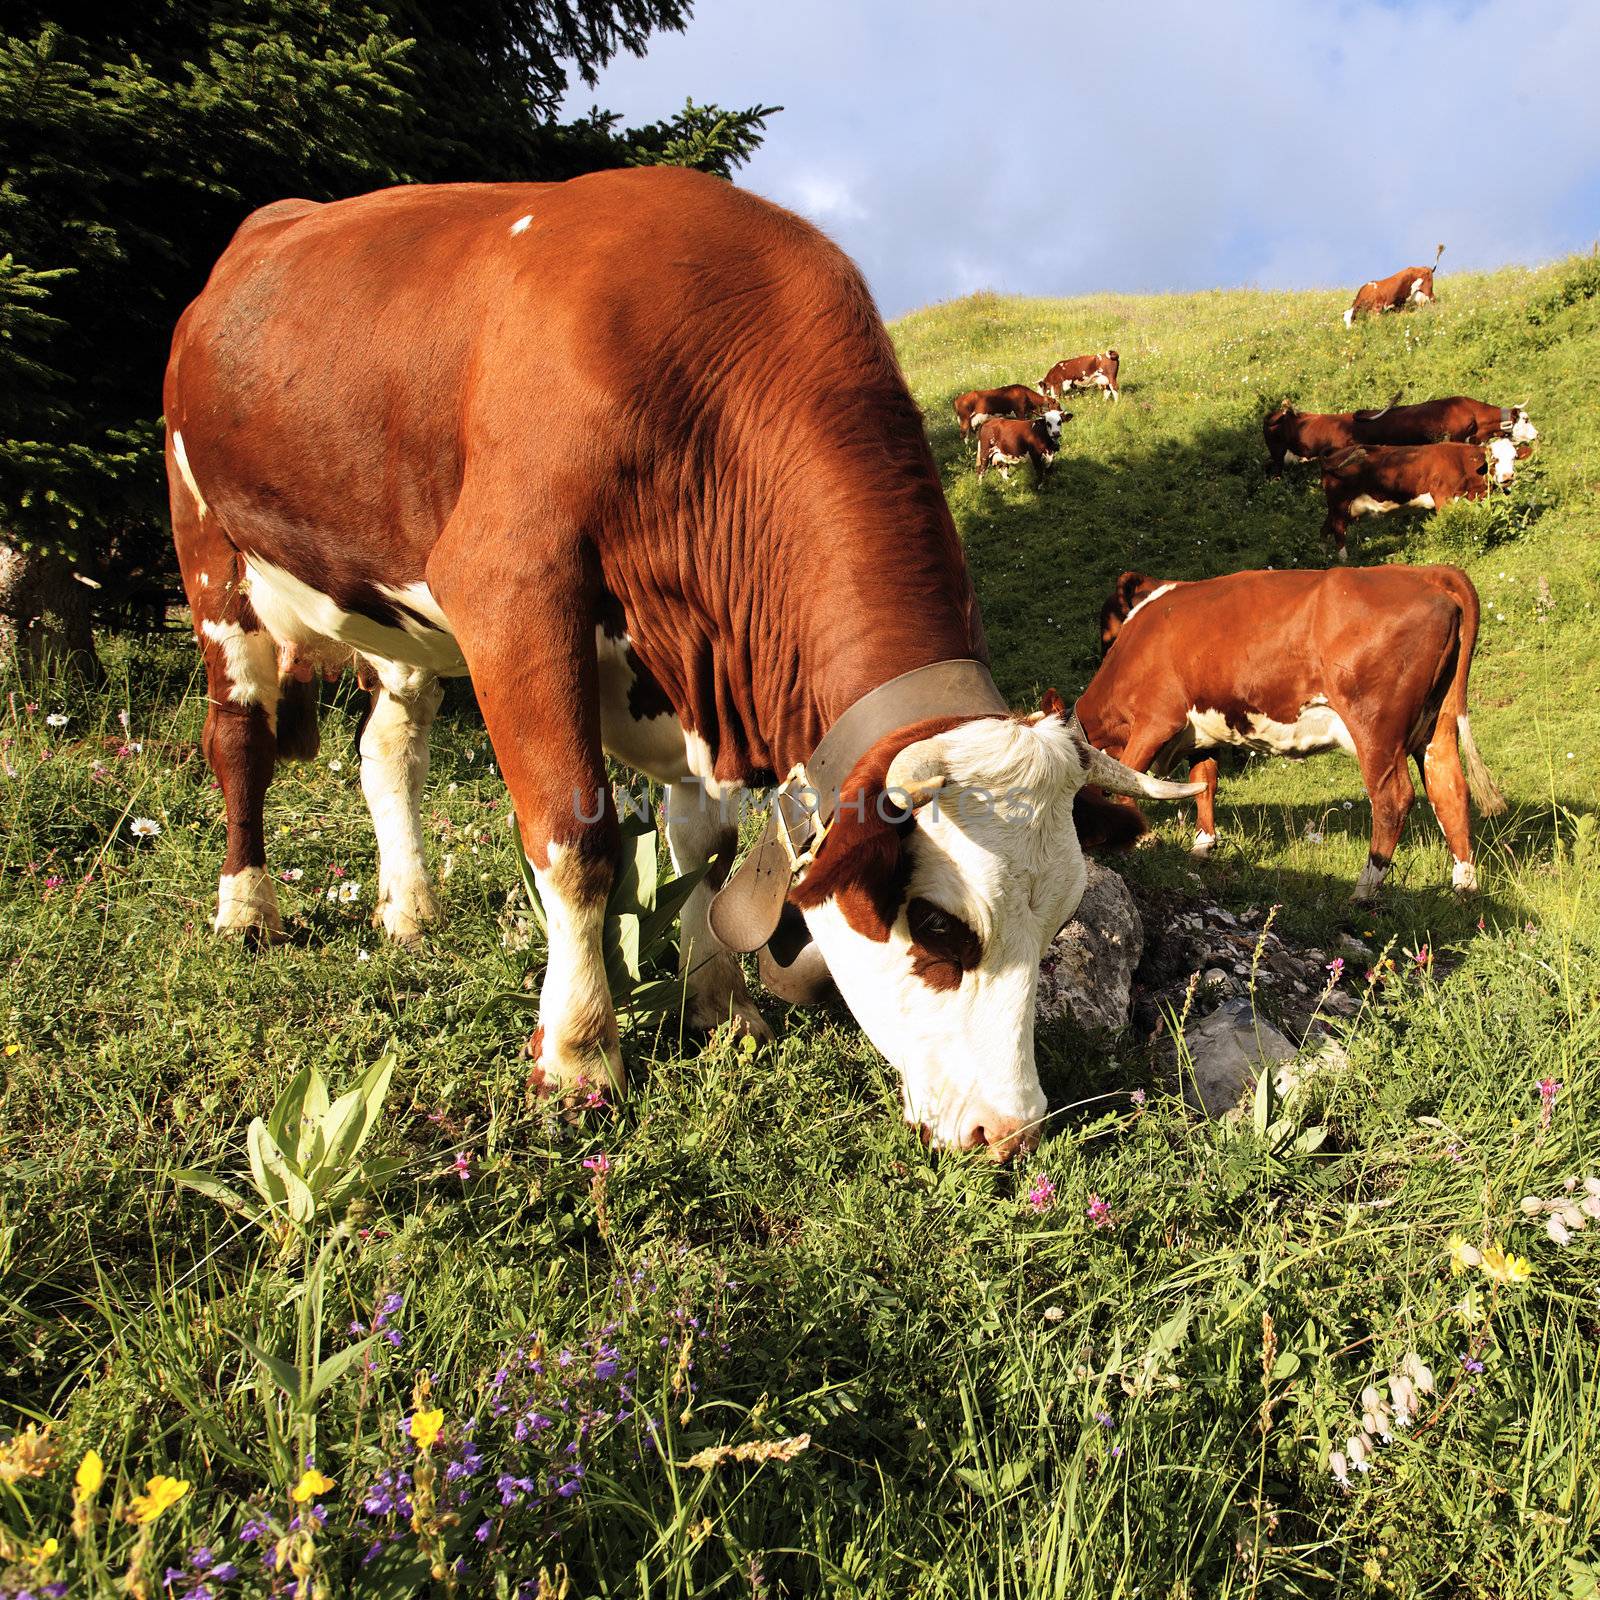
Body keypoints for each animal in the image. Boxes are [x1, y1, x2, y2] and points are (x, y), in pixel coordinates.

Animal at [172, 168, 1203, 1158]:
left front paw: (723, 1008)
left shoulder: (690, 675)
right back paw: (246, 910)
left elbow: (703, 850)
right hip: (212, 554)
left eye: (1060, 919)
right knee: (239, 743)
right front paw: (578, 1056)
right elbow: (575, 839)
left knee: (388, 753)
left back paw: (409, 910)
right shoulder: (508, 589)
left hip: (390, 613)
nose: (1012, 1132)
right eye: (943, 924)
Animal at [1081, 563, 1504, 902]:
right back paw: (1464, 889)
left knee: (1393, 798)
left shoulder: (1155, 720)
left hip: (1376, 727)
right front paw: (1203, 847)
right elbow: (1204, 782)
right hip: (1438, 725)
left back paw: (1363, 892)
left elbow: (1131, 780)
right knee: (1449, 789)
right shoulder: (1203, 732)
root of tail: (1424, 572)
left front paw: (1139, 839)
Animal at [1318, 441, 1516, 560]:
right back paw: (1344, 559)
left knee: (1325, 528)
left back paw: (1325, 557)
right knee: (1338, 530)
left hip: (1336, 507)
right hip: (1341, 503)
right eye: (1494, 458)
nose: (1508, 476)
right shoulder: (1442, 497)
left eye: (1514, 457)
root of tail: (1332, 456)